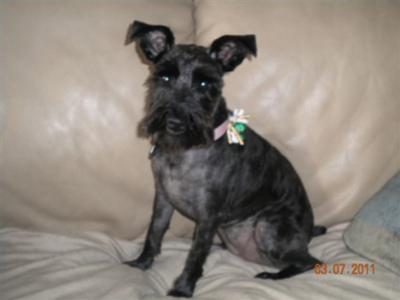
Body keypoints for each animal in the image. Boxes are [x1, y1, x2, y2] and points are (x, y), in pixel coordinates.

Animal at [123, 21, 326, 298]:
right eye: (164, 77)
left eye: (205, 84)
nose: (175, 123)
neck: (185, 150)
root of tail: (308, 234)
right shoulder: (163, 199)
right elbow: (154, 232)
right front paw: (141, 263)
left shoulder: (209, 216)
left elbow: (196, 254)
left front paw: (183, 289)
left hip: (267, 228)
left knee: (310, 261)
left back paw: (273, 275)